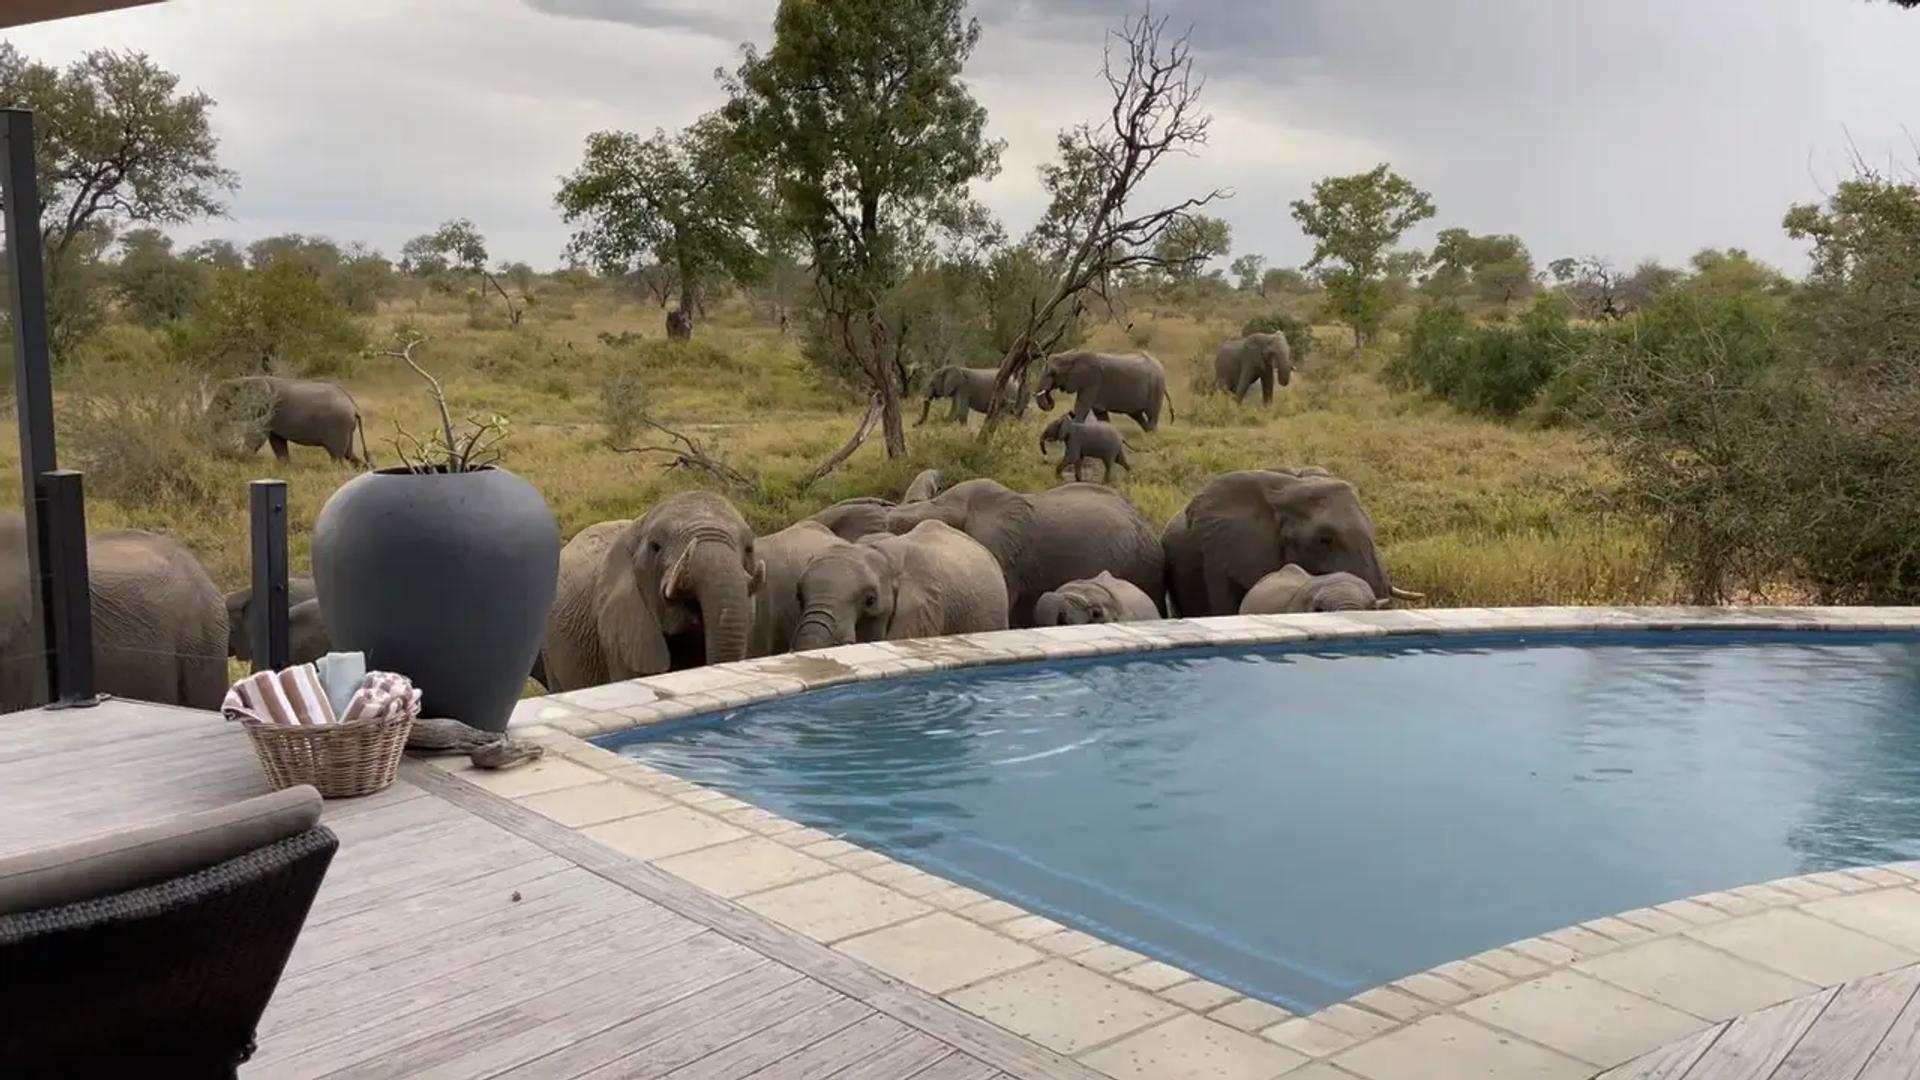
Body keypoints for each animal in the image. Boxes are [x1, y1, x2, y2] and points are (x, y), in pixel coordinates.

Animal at [209, 376, 369, 466]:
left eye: (224, 404)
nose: (216, 455)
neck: (246, 380)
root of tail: (354, 407)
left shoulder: (267, 410)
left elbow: (258, 436)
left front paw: (241, 460)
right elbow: (277, 442)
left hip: (338, 426)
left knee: (337, 457)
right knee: (349, 455)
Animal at [1034, 350, 1173, 432]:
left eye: (1053, 373)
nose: (1048, 393)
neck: (1072, 355)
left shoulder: (1092, 382)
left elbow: (1081, 407)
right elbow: (1100, 414)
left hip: (1156, 387)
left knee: (1151, 415)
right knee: (1138, 416)